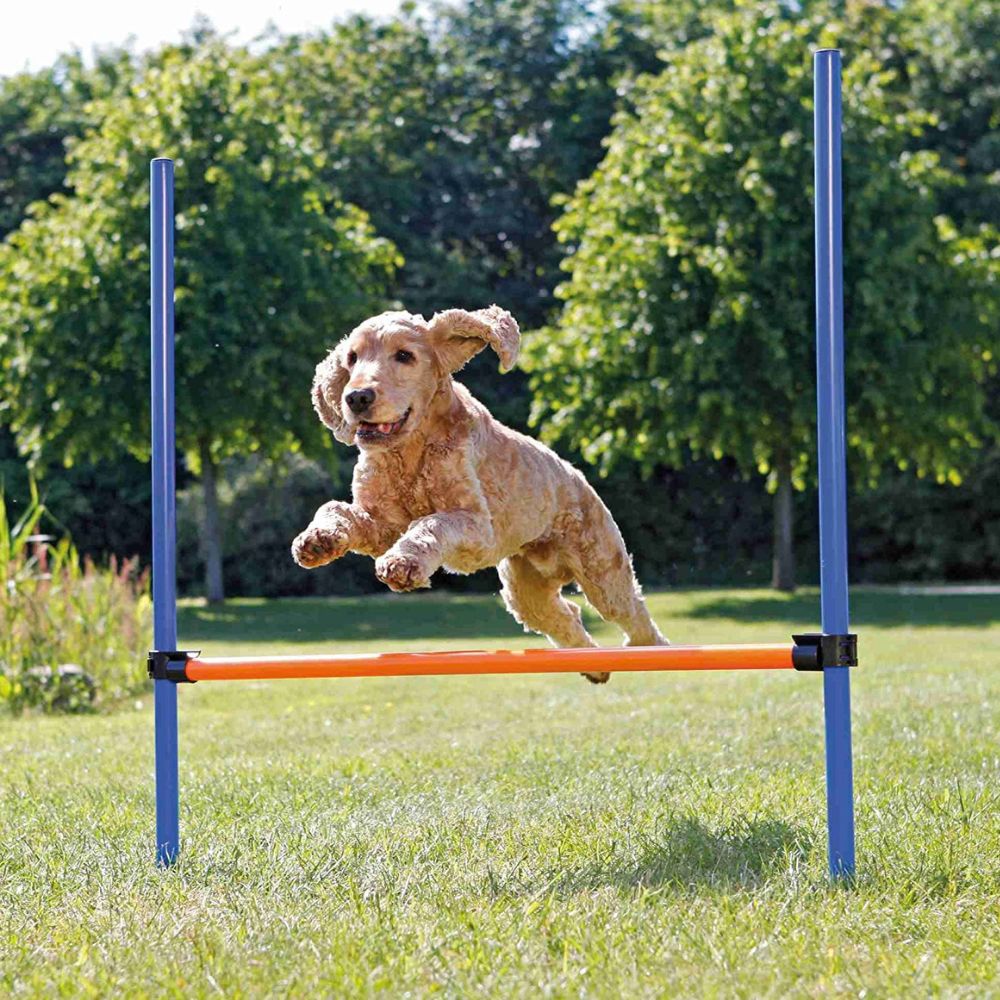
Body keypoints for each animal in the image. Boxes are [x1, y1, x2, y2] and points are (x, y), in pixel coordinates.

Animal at [292, 304, 664, 680]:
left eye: (404, 356)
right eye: (352, 358)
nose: (356, 397)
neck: (410, 451)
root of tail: (577, 475)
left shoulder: (475, 526)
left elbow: (430, 523)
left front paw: (403, 564)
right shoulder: (380, 522)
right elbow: (336, 509)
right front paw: (317, 540)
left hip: (601, 570)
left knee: (632, 611)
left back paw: (652, 649)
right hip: (526, 589)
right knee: (565, 616)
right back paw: (595, 666)